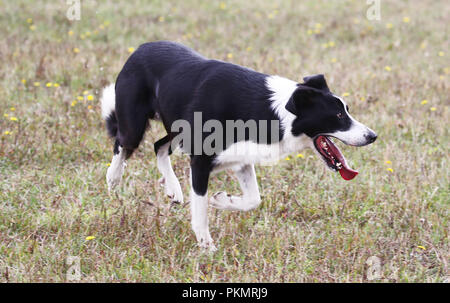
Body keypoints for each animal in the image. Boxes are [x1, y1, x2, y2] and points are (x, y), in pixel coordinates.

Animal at [101, 41, 376, 253]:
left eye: (347, 110)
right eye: (338, 116)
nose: (372, 136)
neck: (273, 111)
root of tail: (139, 48)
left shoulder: (241, 158)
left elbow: (253, 199)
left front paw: (222, 200)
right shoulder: (201, 161)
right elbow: (200, 211)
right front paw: (207, 247)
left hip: (178, 130)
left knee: (159, 146)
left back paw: (174, 190)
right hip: (135, 124)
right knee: (122, 143)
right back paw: (113, 178)